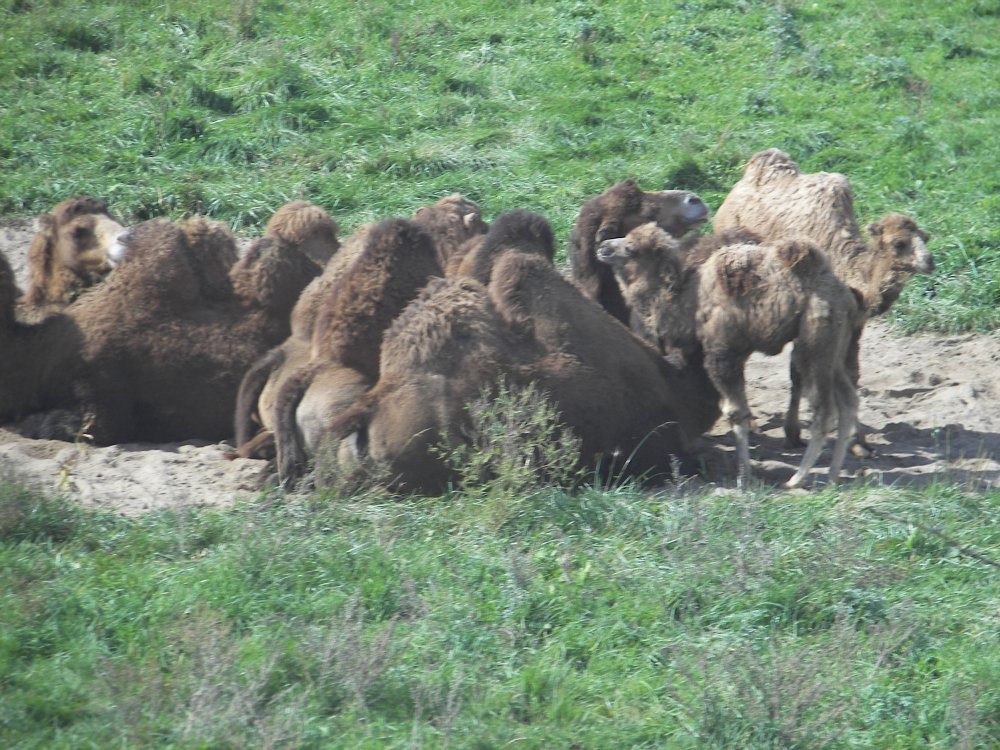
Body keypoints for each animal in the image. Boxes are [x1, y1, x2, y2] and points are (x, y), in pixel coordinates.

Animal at [596, 222, 864, 494]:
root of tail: (843, 294)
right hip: (836, 345)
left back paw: (797, 479)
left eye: (631, 248)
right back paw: (832, 475)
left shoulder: (722, 351)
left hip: (816, 340)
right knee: (848, 401)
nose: (603, 247)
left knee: (824, 410)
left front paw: (744, 475)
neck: (687, 302)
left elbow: (735, 412)